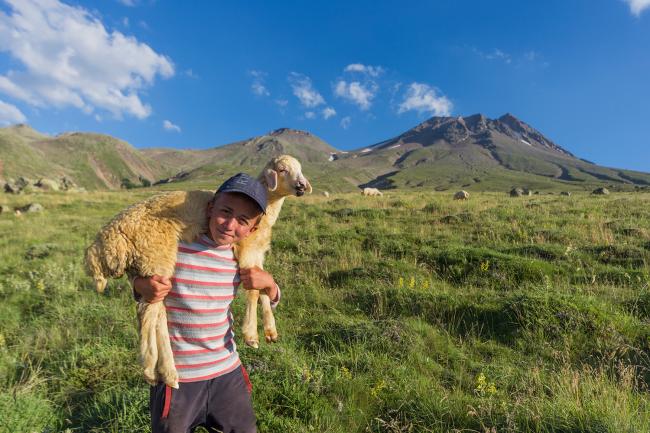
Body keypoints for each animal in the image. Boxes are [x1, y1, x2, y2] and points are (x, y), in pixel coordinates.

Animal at [85, 155, 312, 388]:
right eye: (282, 170)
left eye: (300, 169)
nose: (302, 186)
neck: (266, 211)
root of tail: (106, 241)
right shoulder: (246, 250)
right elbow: (253, 292)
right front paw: (251, 334)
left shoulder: (258, 254)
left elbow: (263, 290)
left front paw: (270, 331)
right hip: (155, 256)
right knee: (148, 313)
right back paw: (155, 371)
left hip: (145, 265)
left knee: (156, 314)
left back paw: (165, 371)